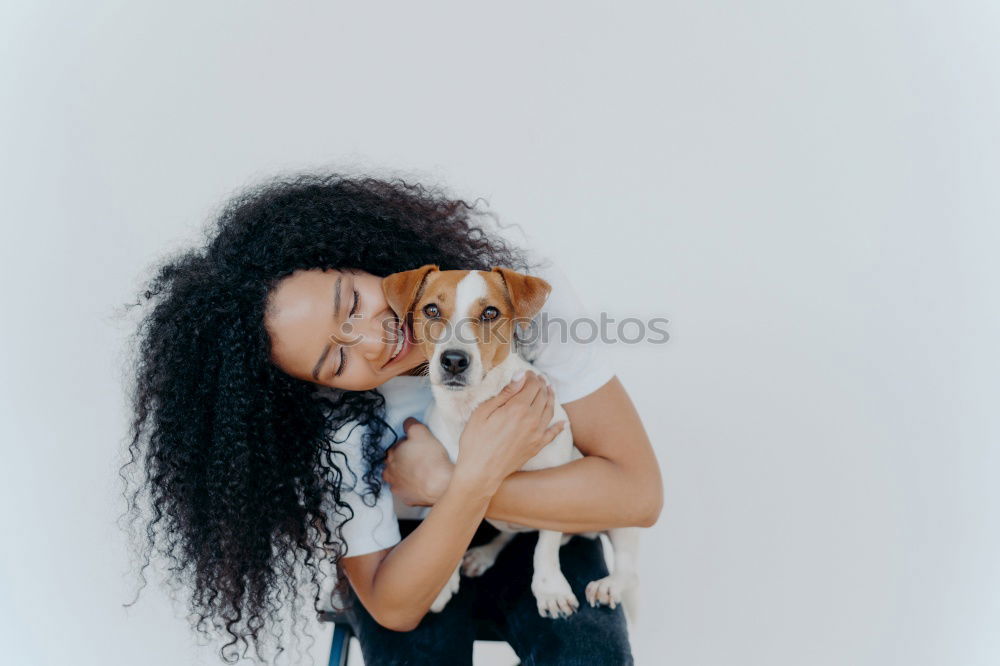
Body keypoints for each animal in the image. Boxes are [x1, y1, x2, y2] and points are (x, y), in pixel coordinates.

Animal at [382, 264, 640, 616]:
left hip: (621, 513)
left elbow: (545, 545)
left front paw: (549, 588)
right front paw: (441, 584)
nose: (454, 360)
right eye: (431, 310)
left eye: (490, 312)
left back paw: (609, 584)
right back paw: (484, 554)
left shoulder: (557, 482)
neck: (470, 408)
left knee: (627, 564)